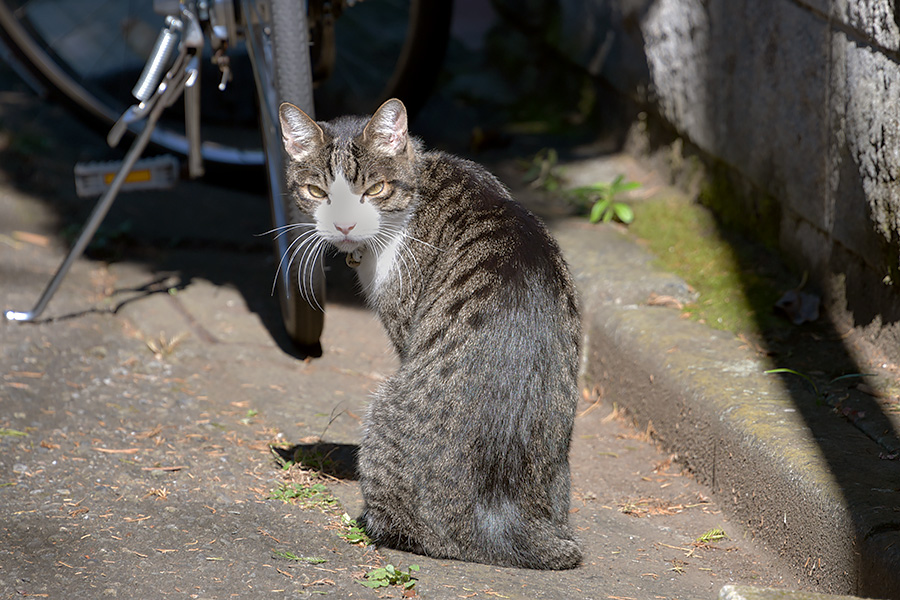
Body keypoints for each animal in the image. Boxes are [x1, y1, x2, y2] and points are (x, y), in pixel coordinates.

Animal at [280, 97, 584, 568]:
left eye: (374, 190)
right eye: (317, 193)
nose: (344, 227)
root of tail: (507, 521)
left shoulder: (405, 329)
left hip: (385, 411)